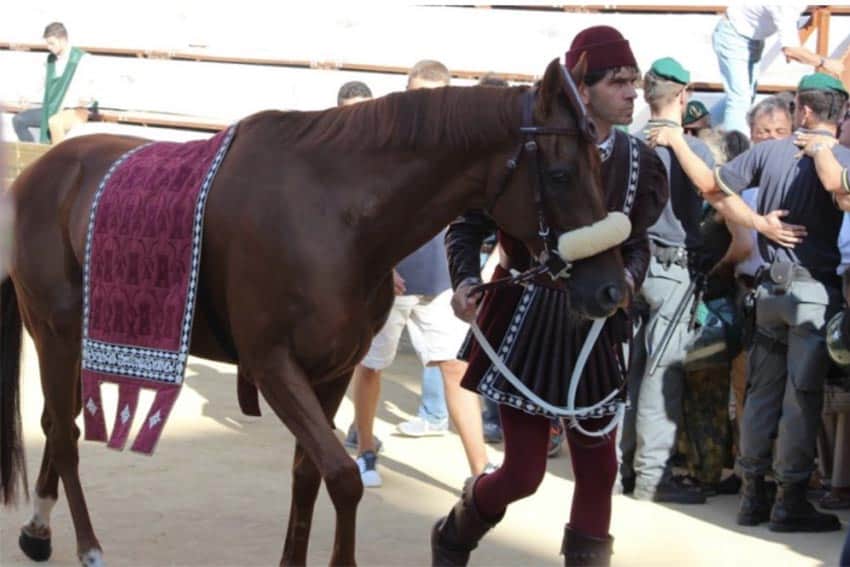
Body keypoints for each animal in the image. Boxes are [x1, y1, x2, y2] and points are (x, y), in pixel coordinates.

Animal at [0, 58, 624, 567]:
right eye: (563, 174)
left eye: (603, 168)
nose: (612, 289)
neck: (334, 213)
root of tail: (38, 172)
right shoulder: (273, 365)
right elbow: (343, 478)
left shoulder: (333, 369)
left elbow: (309, 474)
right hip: (56, 331)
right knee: (65, 432)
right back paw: (88, 545)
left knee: (56, 422)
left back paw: (39, 529)